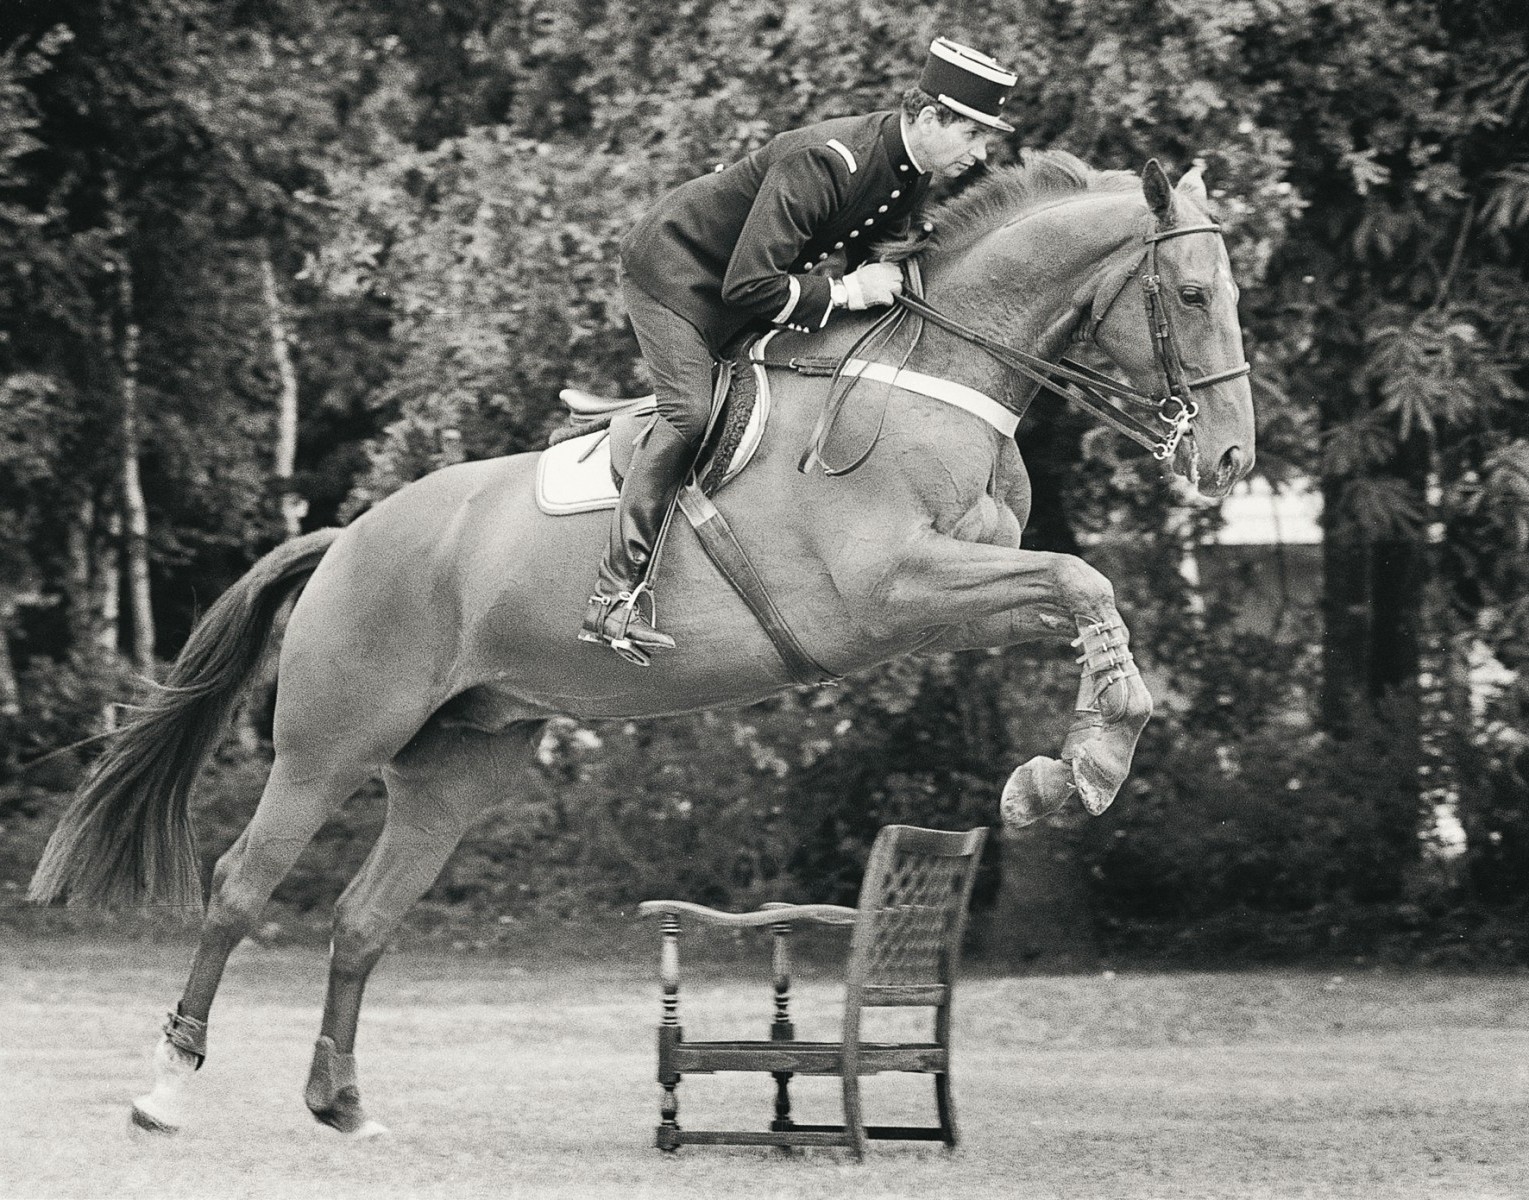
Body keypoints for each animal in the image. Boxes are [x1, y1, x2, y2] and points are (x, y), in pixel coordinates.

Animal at [29, 151, 1254, 1137]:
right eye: (1192, 294)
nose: (1231, 461)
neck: (928, 381)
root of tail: (346, 539)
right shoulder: (884, 593)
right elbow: (1083, 578)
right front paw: (1082, 768)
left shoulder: (959, 592)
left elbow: (1085, 598)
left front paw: (1072, 769)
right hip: (329, 746)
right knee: (241, 888)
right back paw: (164, 1091)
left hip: (456, 766)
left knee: (364, 918)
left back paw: (341, 1104)